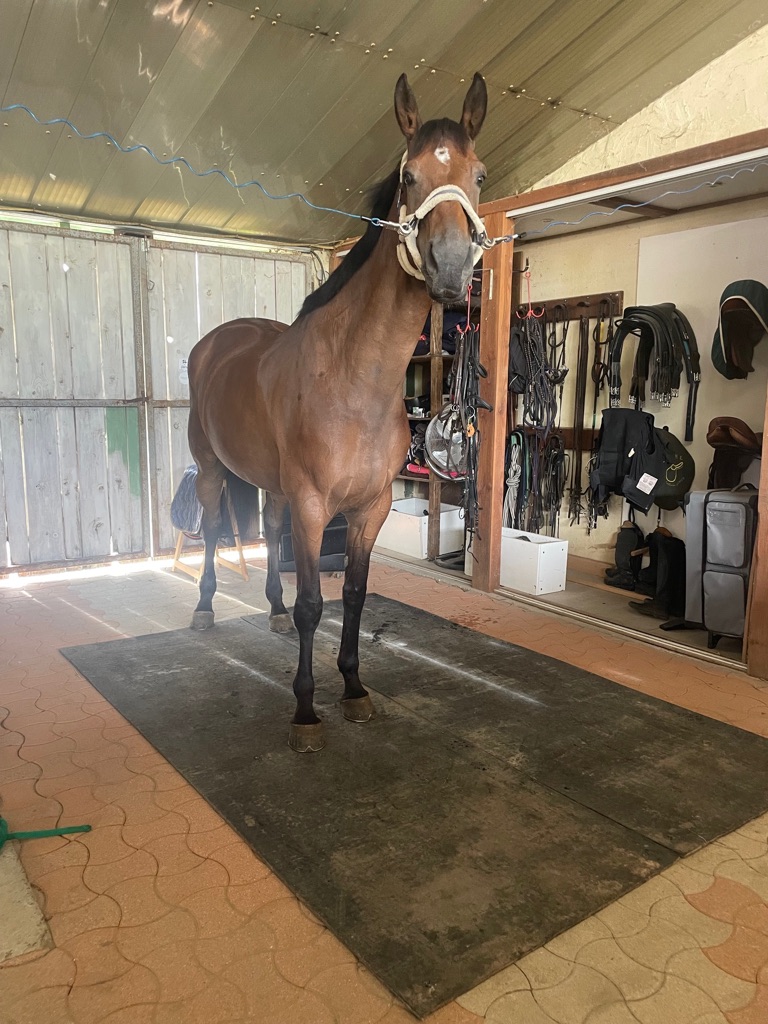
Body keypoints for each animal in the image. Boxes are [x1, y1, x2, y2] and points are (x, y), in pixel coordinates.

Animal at [187, 72, 489, 751]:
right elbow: (313, 606)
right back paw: (205, 609)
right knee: (216, 530)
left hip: (272, 484)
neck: (355, 382)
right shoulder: (312, 503)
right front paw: (305, 711)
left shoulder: (368, 506)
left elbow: (351, 595)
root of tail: (216, 341)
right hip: (214, 470)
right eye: (409, 177)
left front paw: (352, 687)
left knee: (269, 532)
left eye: (479, 175)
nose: (452, 267)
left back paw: (269, 610)